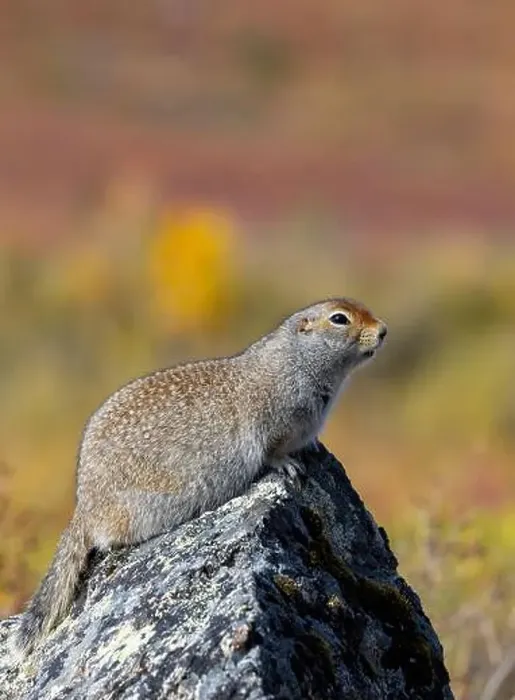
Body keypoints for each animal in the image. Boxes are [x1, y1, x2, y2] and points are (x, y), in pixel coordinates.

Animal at [16, 297, 386, 656]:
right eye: (339, 319)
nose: (383, 330)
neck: (297, 360)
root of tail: (84, 507)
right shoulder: (275, 420)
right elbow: (272, 450)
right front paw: (288, 465)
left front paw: (314, 447)